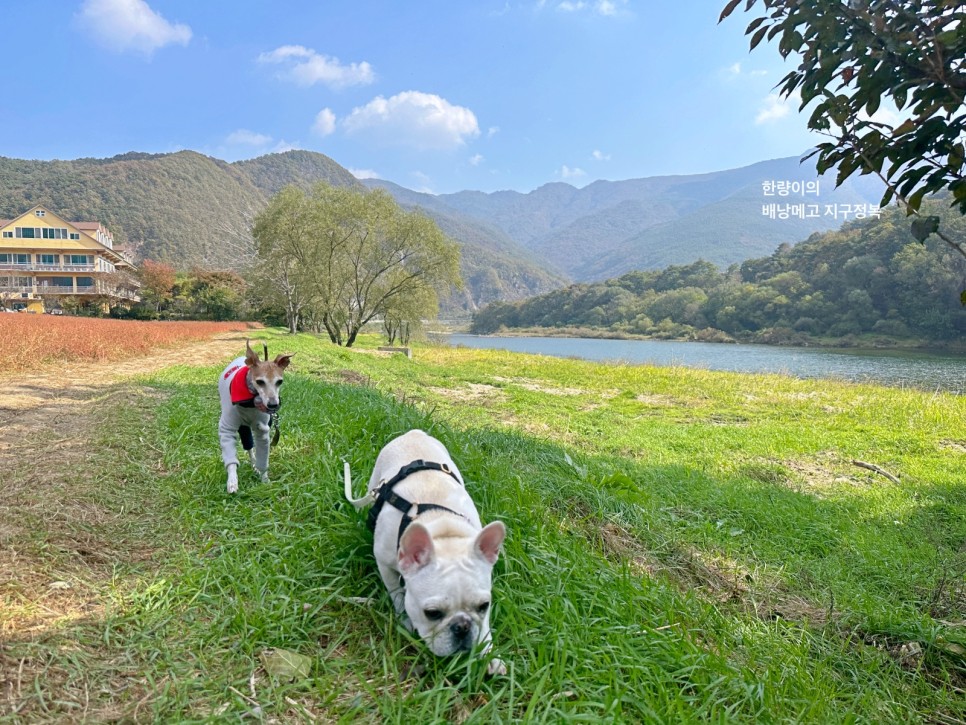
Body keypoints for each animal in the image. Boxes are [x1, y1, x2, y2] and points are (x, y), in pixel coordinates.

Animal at [217, 340, 294, 492]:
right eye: (260, 382)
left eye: (279, 381)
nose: (273, 405)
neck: (250, 402)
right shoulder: (227, 428)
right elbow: (231, 460)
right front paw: (232, 481)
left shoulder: (263, 431)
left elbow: (262, 458)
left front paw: (264, 480)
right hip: (242, 427)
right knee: (248, 446)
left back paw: (254, 466)